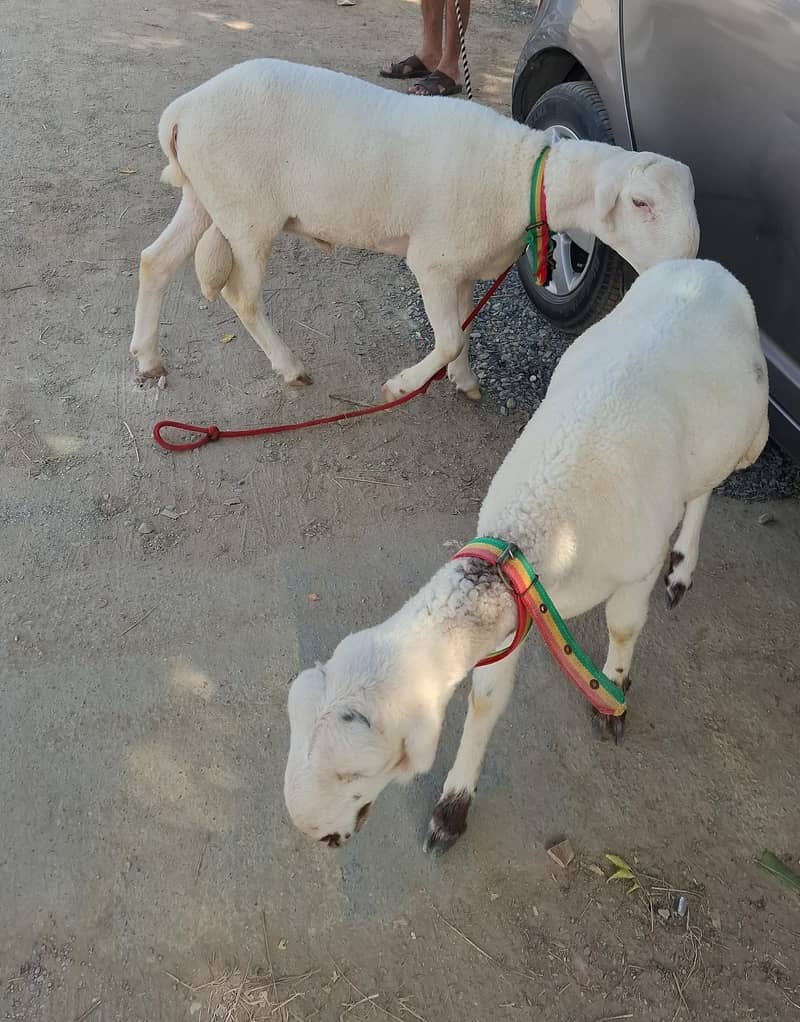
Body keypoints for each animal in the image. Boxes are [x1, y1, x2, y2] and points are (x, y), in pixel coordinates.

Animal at [130, 58, 699, 399]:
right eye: (641, 203)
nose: (685, 270)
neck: (520, 175)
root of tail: (183, 109)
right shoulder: (434, 262)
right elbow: (446, 340)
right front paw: (403, 385)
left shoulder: (465, 267)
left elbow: (463, 332)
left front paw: (466, 382)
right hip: (249, 214)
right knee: (242, 295)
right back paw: (290, 367)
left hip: (207, 195)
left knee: (155, 261)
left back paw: (148, 359)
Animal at [284, 259, 769, 853]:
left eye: (355, 772)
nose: (315, 833)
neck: (538, 527)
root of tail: (704, 266)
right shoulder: (519, 607)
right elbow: (487, 699)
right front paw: (453, 808)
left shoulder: (634, 568)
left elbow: (624, 627)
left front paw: (613, 695)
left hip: (752, 428)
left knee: (710, 486)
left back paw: (683, 566)